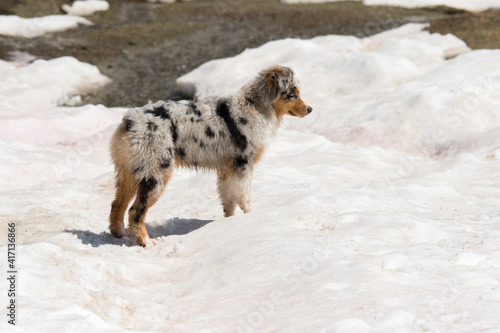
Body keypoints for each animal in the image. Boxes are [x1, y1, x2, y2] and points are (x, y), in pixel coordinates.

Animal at [109, 65, 312, 246]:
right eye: (292, 94)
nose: (310, 109)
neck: (255, 108)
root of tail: (131, 121)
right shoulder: (243, 166)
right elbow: (245, 198)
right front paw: (253, 218)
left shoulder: (227, 170)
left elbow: (229, 201)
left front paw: (231, 223)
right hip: (155, 174)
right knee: (135, 211)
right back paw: (146, 242)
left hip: (128, 173)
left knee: (117, 205)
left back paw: (119, 234)